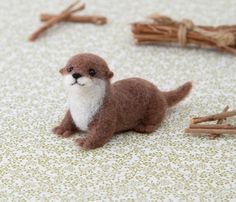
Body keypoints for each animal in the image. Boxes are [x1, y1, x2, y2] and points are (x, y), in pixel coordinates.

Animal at [53, 52, 192, 149]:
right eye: (70, 68)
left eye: (92, 71)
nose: (76, 74)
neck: (82, 107)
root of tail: (160, 93)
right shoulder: (72, 110)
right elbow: (67, 119)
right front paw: (61, 129)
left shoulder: (106, 114)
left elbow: (101, 132)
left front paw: (84, 141)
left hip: (154, 107)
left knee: (155, 121)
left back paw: (143, 127)